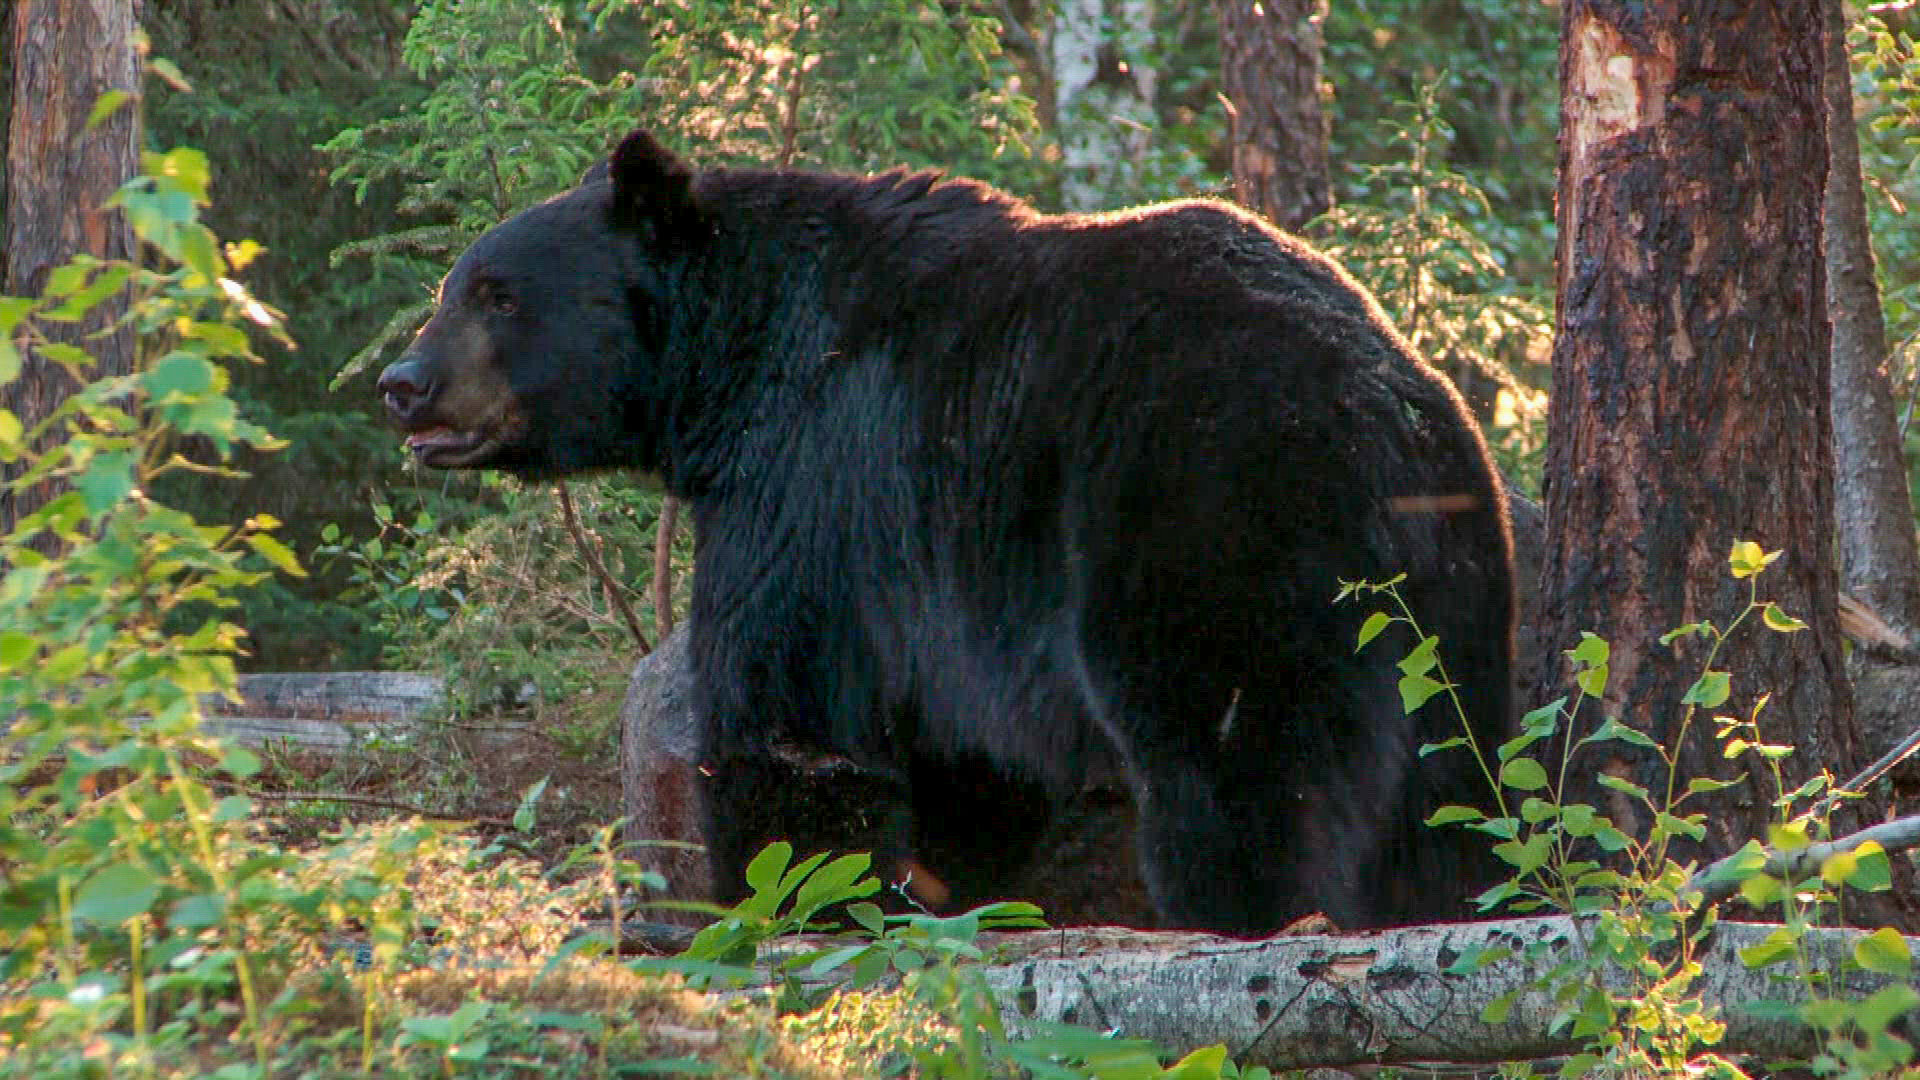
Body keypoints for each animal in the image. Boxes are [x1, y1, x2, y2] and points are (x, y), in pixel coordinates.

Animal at [376, 128, 1516, 935]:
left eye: (498, 295)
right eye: (452, 286)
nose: (402, 382)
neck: (732, 363)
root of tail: (1384, 424)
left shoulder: (818, 479)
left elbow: (792, 720)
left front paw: (787, 895)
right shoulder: (950, 602)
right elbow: (967, 754)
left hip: (1211, 529)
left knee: (1240, 772)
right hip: (1448, 604)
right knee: (1449, 799)